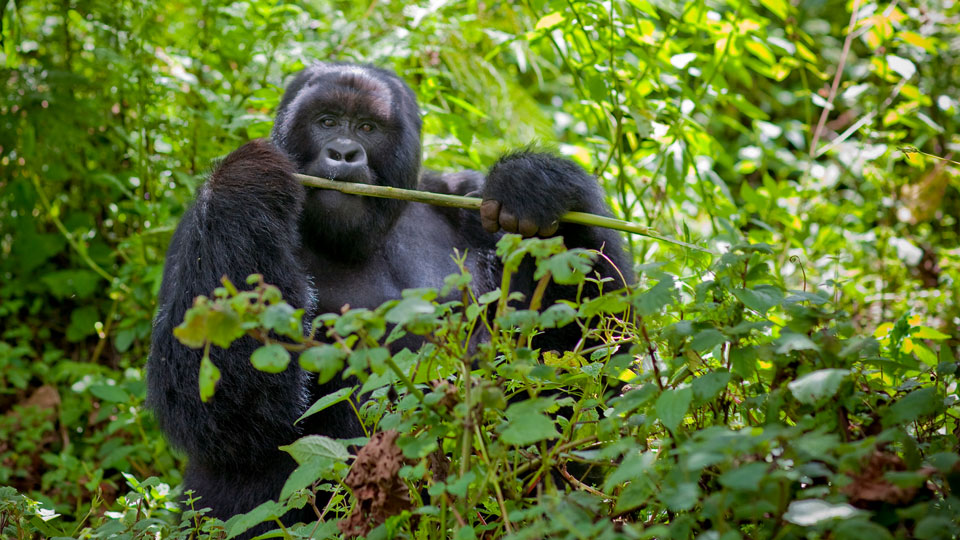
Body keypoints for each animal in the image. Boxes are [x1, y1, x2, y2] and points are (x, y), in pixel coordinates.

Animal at [146, 62, 632, 528]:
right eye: (326, 121)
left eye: (367, 127)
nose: (344, 152)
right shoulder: (199, 225)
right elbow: (214, 408)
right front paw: (248, 181)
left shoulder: (465, 194)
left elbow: (580, 369)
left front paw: (535, 181)